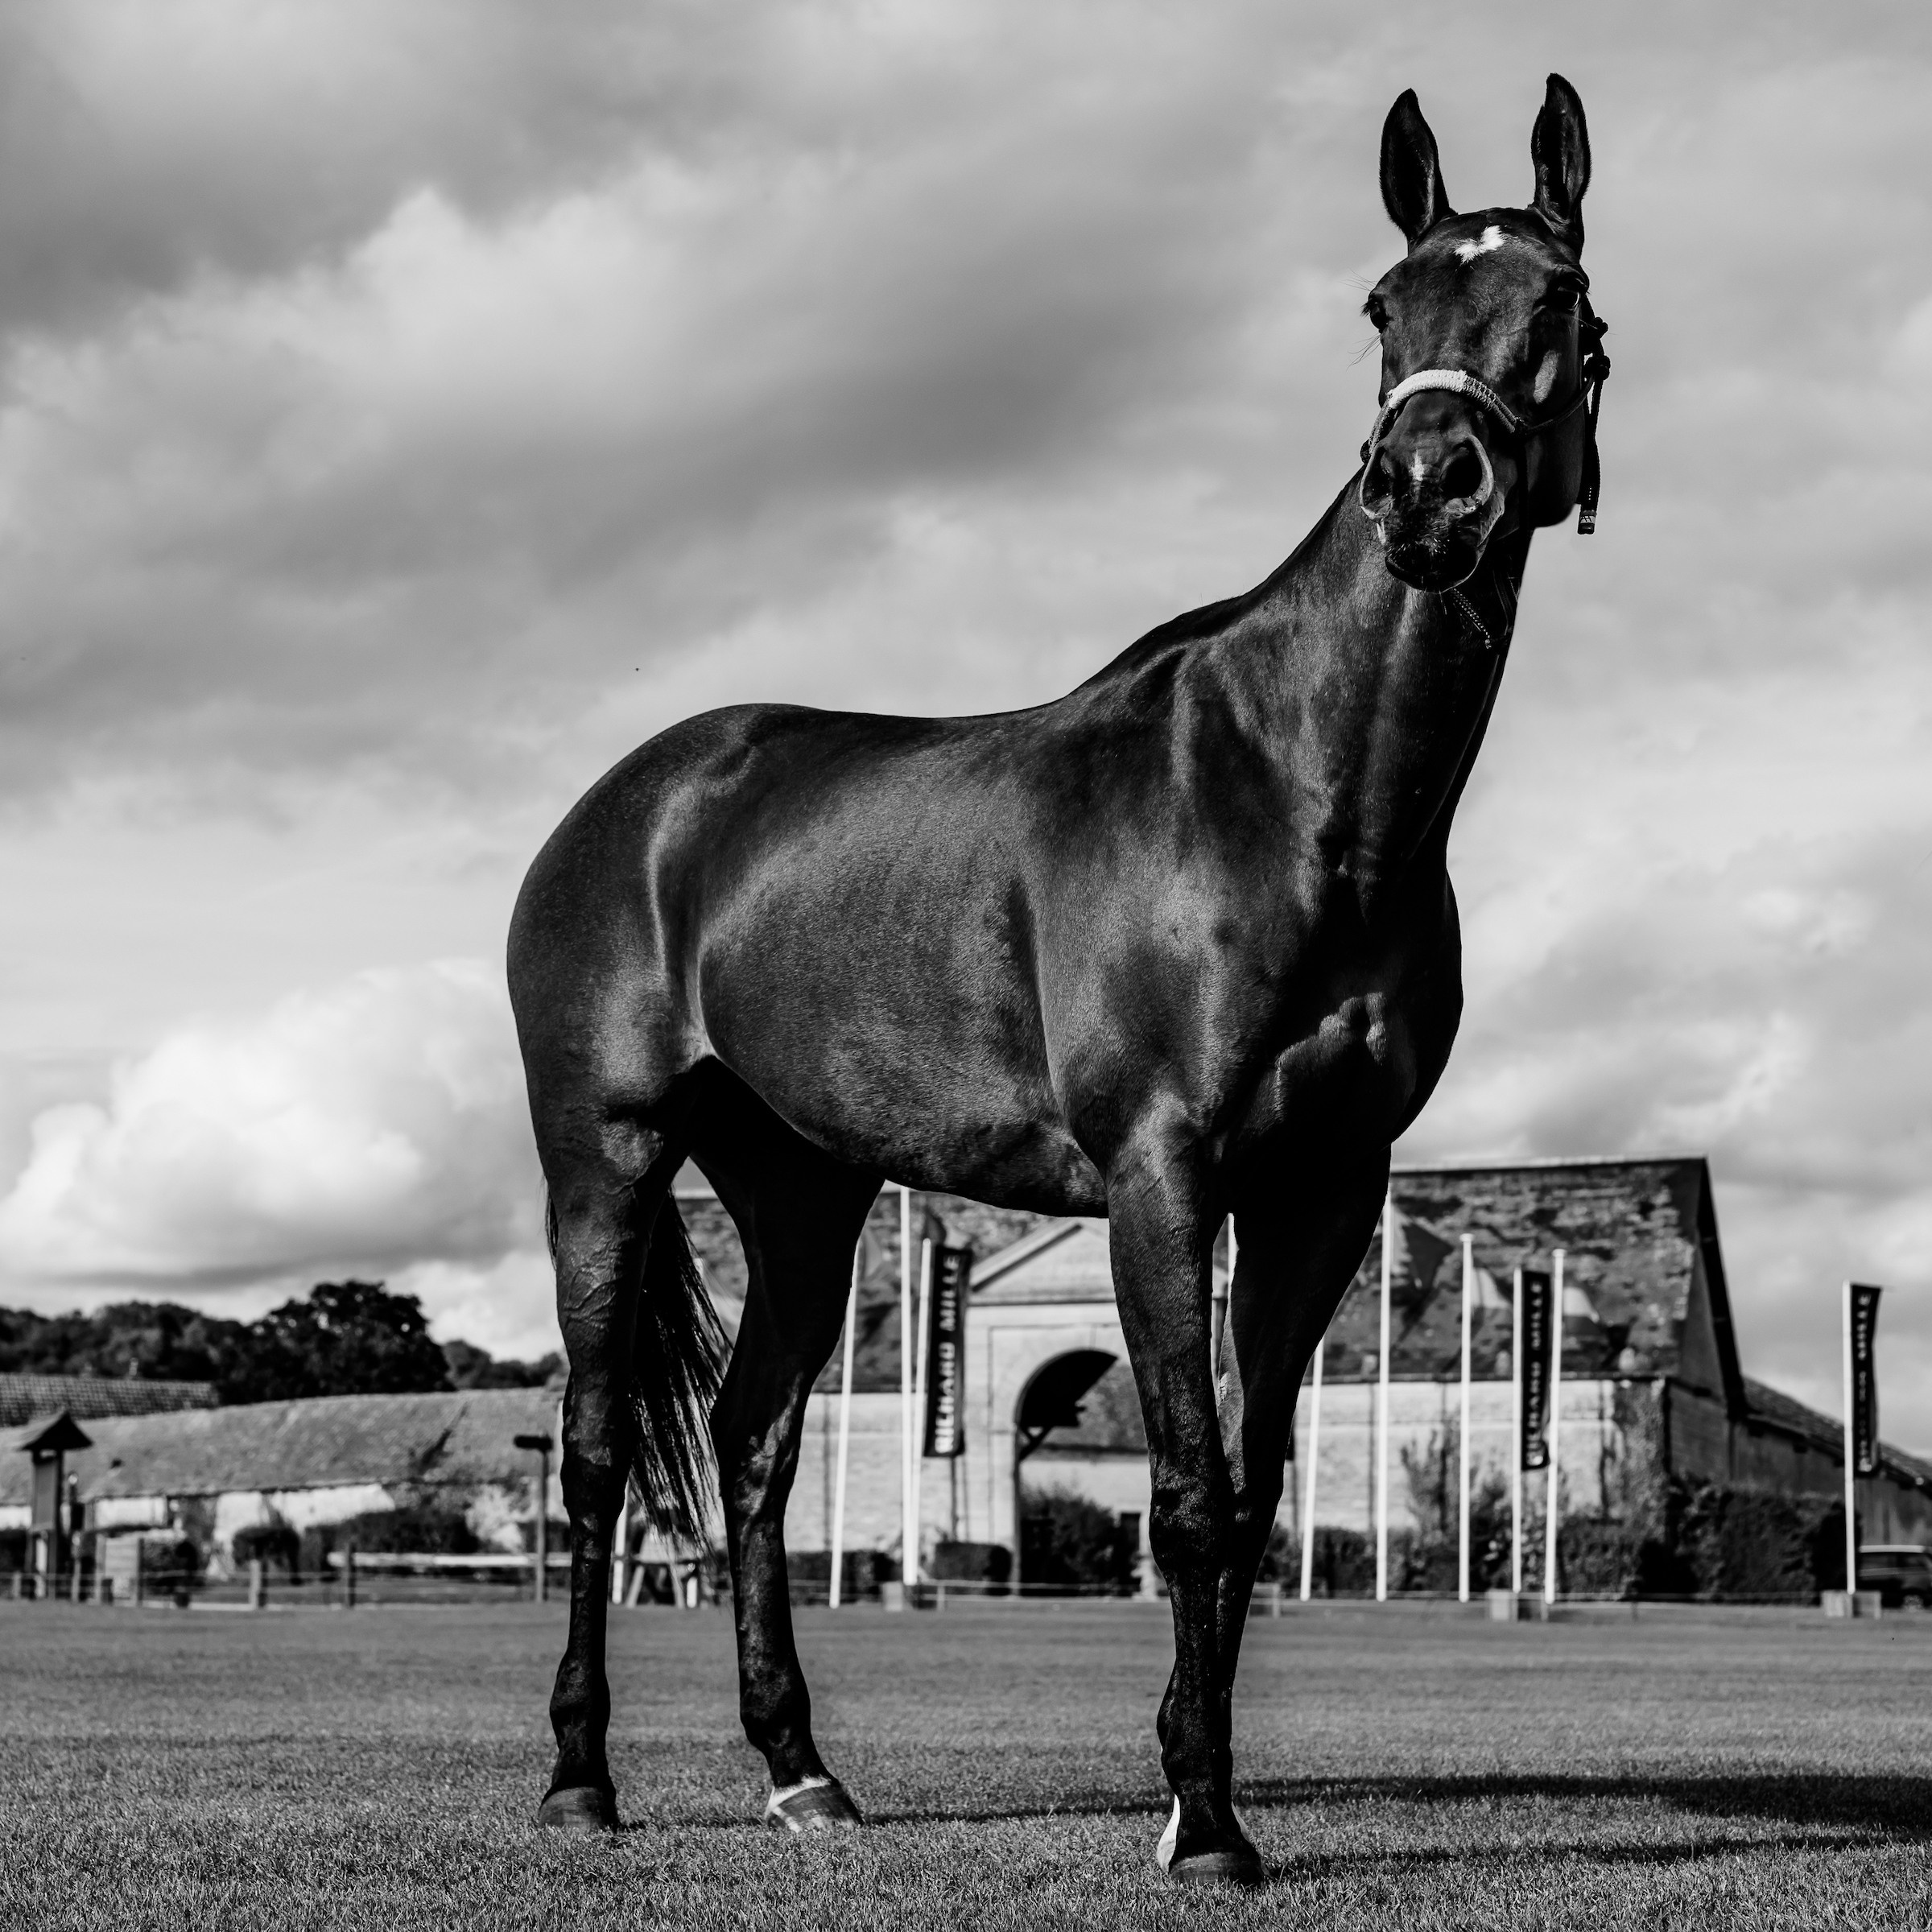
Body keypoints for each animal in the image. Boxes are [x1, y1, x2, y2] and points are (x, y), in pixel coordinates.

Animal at [507, 73, 1607, 1887]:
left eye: (1562, 307)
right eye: (1384, 307)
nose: (1426, 488)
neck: (1288, 795)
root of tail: (635, 799)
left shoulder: (1321, 1190)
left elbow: (1249, 1489)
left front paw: (1189, 1788)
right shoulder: (1162, 1175)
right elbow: (1186, 1493)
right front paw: (1209, 1821)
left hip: (803, 1191)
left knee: (752, 1445)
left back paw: (800, 1769)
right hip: (604, 1157)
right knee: (602, 1454)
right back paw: (580, 1779)